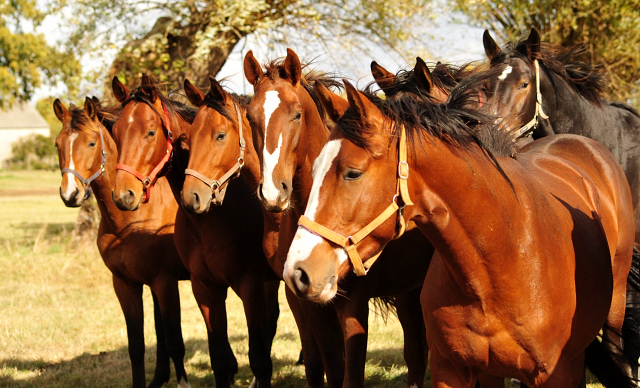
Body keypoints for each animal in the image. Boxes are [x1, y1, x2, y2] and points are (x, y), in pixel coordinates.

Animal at [54, 97, 190, 388]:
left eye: (91, 143)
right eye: (58, 144)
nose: (70, 194)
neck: (129, 221)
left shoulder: (165, 282)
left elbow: (174, 342)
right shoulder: (126, 284)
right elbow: (137, 345)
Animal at [109, 76, 280, 388]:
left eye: (150, 132)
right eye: (115, 132)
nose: (123, 194)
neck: (213, 221)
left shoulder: (250, 285)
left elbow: (260, 360)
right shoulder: (205, 287)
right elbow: (221, 361)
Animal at [242, 48, 432, 388]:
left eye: (296, 114)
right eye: (251, 116)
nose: (273, 193)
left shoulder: (353, 304)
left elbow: (350, 374)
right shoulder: (309, 303)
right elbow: (329, 367)